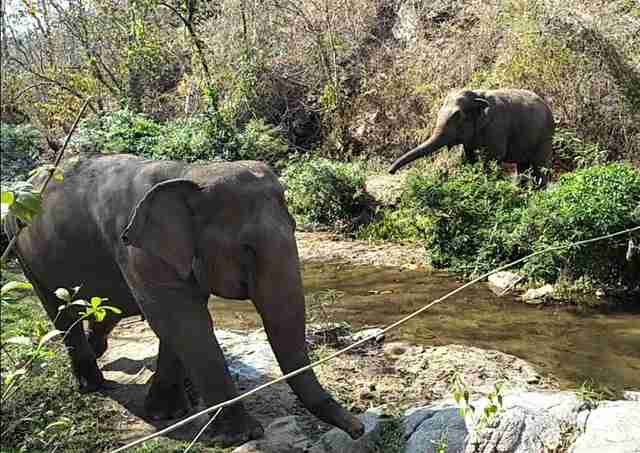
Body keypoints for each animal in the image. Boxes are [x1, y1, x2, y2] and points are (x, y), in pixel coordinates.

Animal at [4, 154, 364, 446]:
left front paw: (167, 413)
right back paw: (95, 386)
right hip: (22, 252)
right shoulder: (136, 252)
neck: (188, 173)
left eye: (293, 227)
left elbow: (179, 322)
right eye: (246, 249)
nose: (359, 428)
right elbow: (182, 320)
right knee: (59, 311)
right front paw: (241, 436)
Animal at [388, 89, 555, 183]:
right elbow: (469, 156)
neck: (477, 95)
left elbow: (493, 156)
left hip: (545, 137)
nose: (390, 172)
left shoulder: (497, 126)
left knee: (539, 166)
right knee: (523, 167)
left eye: (457, 116)